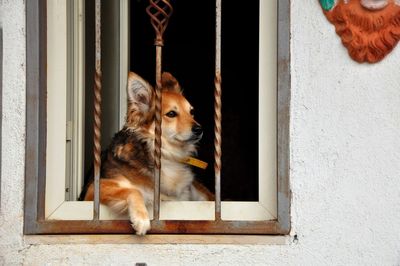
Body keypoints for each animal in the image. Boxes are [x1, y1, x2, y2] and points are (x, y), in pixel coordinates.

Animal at [79, 71, 214, 235]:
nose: (199, 129)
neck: (166, 155)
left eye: (191, 112)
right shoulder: (94, 190)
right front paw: (141, 218)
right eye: (171, 114)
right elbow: (133, 190)